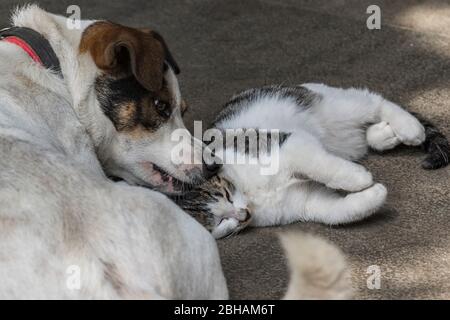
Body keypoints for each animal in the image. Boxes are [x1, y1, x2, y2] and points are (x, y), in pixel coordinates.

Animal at [171, 84, 446, 239]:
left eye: (227, 195)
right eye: (219, 222)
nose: (242, 214)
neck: (252, 196)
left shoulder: (287, 144)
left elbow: (321, 166)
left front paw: (358, 179)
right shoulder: (300, 202)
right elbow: (334, 211)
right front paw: (373, 194)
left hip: (334, 106)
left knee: (373, 101)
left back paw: (409, 127)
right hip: (348, 142)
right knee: (365, 135)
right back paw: (384, 134)